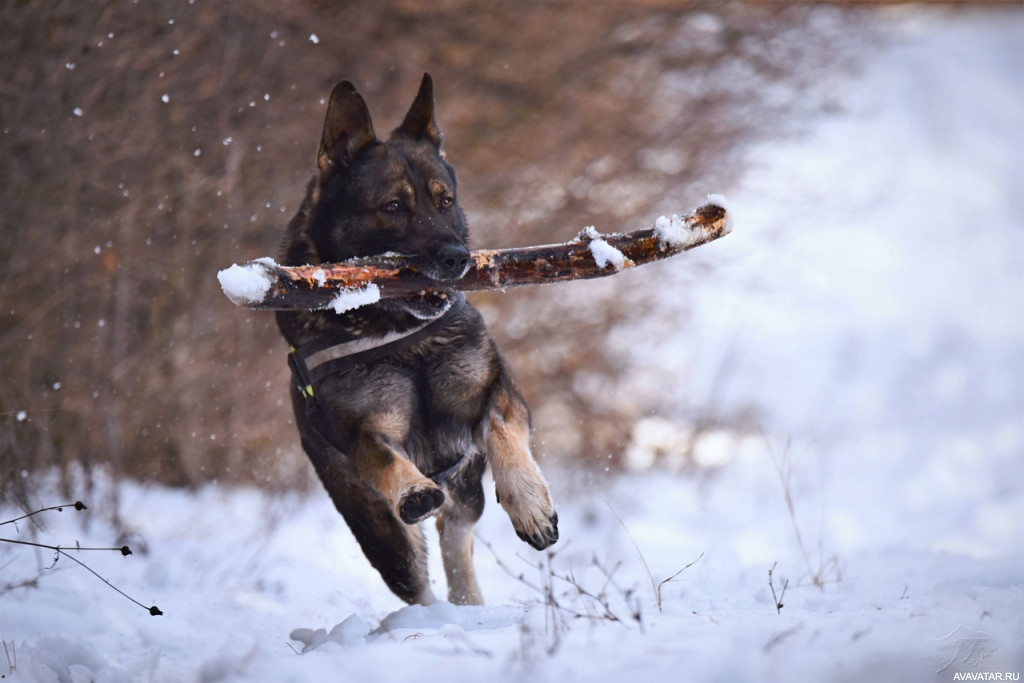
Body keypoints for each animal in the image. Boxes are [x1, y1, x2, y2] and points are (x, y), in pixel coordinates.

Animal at [274, 74, 561, 606]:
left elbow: (501, 431)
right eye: (393, 207)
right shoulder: (362, 433)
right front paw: (412, 488)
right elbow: (387, 459)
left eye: (444, 201)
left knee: (457, 538)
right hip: (381, 535)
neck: (402, 338)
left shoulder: (501, 391)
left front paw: (530, 504)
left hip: (465, 493)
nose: (458, 259)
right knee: (419, 576)